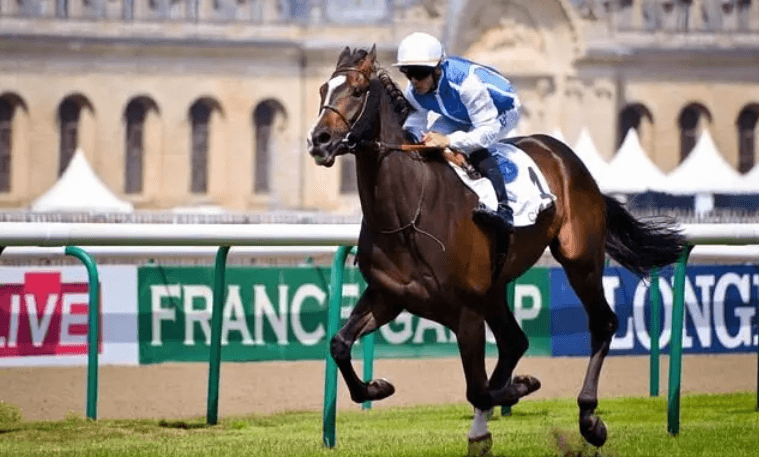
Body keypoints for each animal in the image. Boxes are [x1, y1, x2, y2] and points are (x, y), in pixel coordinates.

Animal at [307, 45, 686, 454]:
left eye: (358, 91)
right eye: (323, 89)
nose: (319, 140)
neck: (407, 214)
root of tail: (570, 160)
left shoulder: (466, 311)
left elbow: (478, 389)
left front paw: (521, 387)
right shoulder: (387, 295)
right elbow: (339, 344)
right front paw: (376, 386)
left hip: (579, 258)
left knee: (602, 323)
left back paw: (589, 420)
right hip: (495, 287)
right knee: (514, 341)